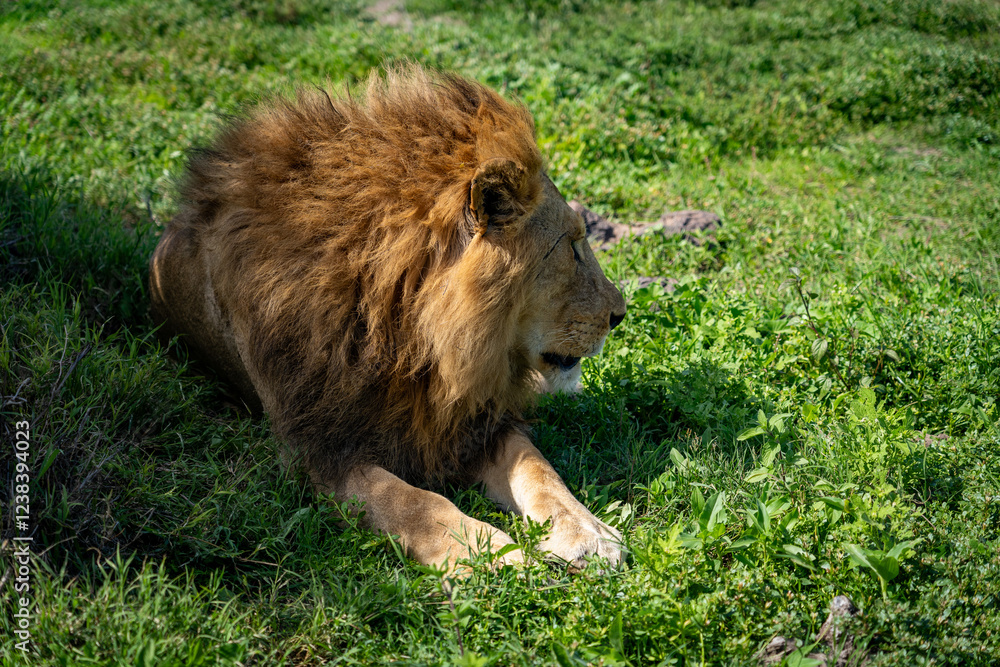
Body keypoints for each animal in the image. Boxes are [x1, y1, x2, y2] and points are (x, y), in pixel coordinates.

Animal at [149, 66, 627, 572]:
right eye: (572, 246)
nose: (620, 314)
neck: (412, 337)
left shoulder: (469, 420)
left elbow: (538, 468)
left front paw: (588, 531)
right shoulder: (319, 448)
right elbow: (413, 501)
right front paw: (489, 556)